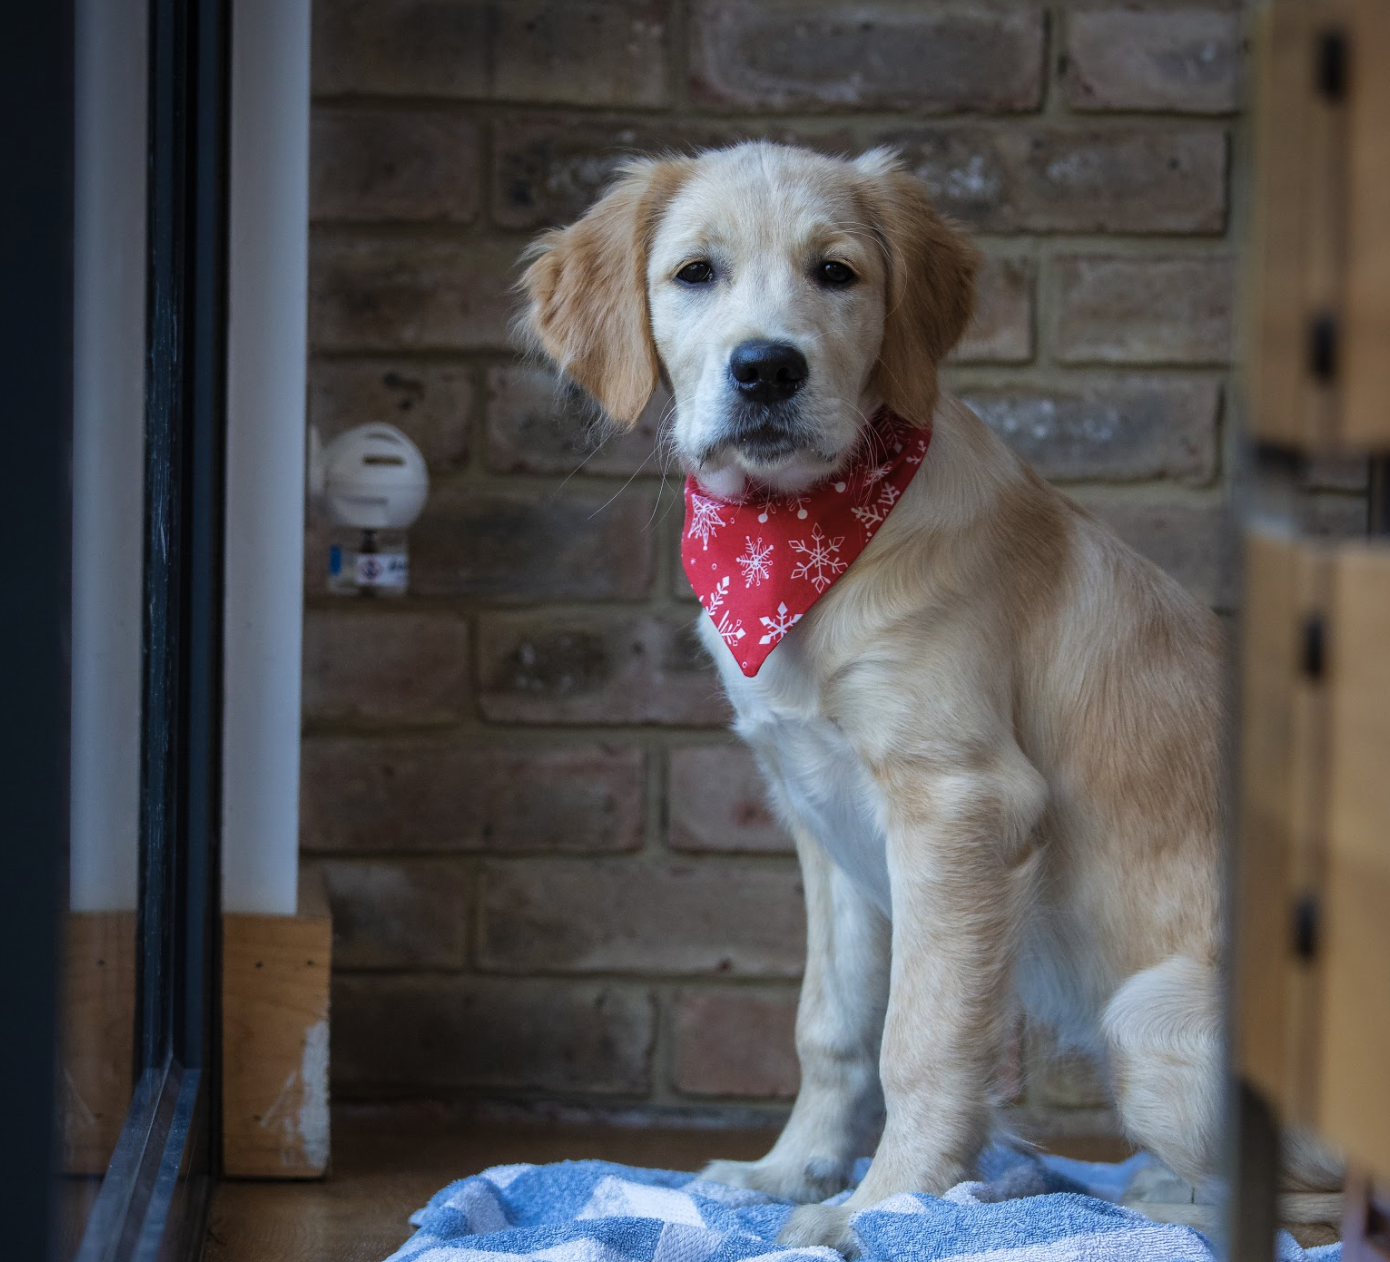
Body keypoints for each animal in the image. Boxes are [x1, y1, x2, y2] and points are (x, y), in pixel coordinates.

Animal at [522, 140, 1239, 1250]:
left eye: (837, 273)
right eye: (695, 273)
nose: (766, 367)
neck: (803, 539)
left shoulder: (959, 802)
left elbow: (923, 1033)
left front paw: (888, 1203)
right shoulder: (825, 822)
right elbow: (831, 1023)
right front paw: (792, 1171)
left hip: (1150, 1023)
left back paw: (1133, 1198)